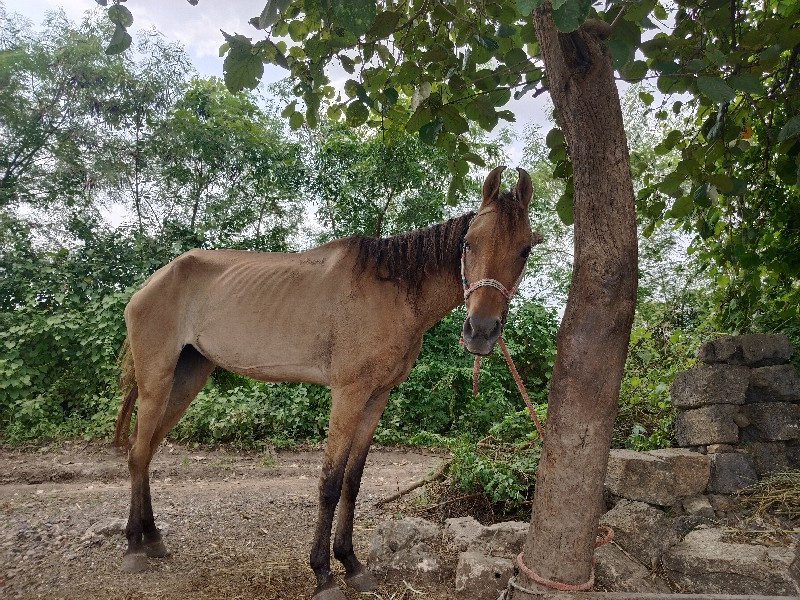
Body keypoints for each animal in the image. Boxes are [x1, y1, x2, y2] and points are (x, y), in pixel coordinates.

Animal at [112, 165, 536, 600]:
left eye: (525, 250)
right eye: (469, 242)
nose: (481, 331)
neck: (393, 290)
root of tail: (151, 283)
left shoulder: (376, 397)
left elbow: (353, 480)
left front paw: (351, 563)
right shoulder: (348, 394)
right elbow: (330, 483)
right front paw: (323, 574)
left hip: (187, 378)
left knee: (147, 450)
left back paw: (152, 537)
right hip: (157, 378)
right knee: (138, 453)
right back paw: (134, 547)